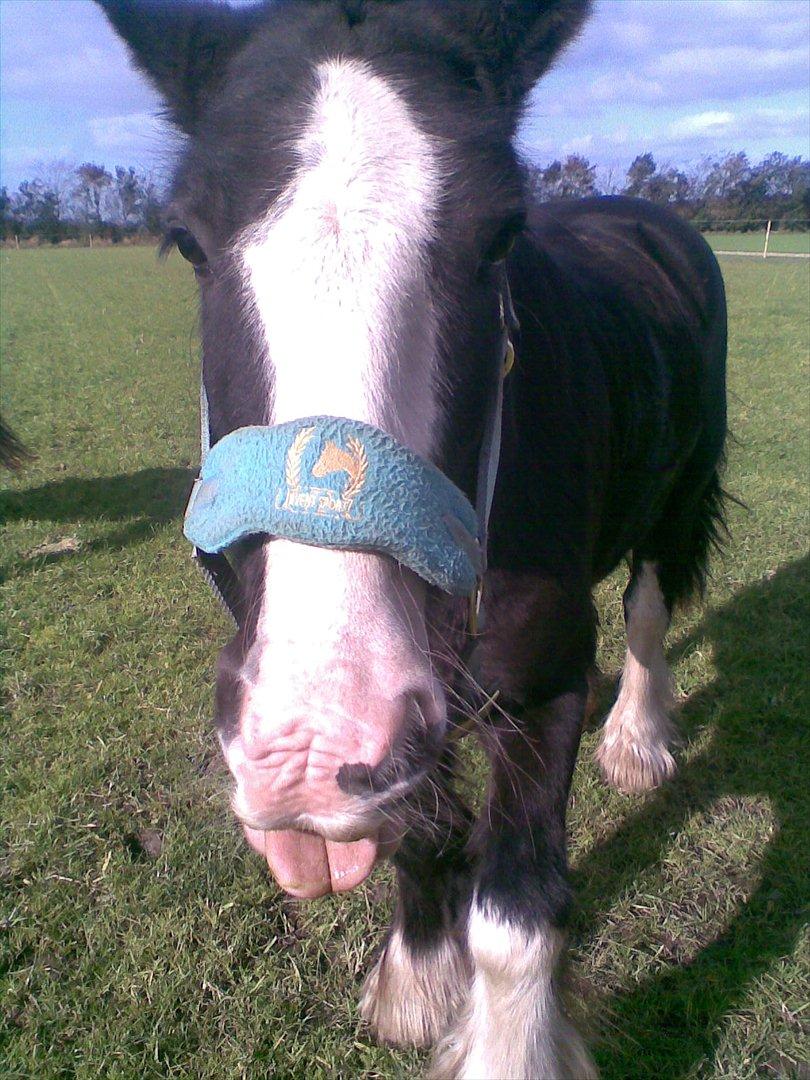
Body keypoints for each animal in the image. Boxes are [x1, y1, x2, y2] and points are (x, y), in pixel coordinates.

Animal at [96, 4, 730, 1075]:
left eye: (501, 234)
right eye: (186, 241)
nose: (311, 742)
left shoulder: (545, 681)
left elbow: (515, 917)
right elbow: (424, 830)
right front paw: (418, 984)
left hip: (679, 489)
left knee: (649, 604)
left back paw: (639, 740)